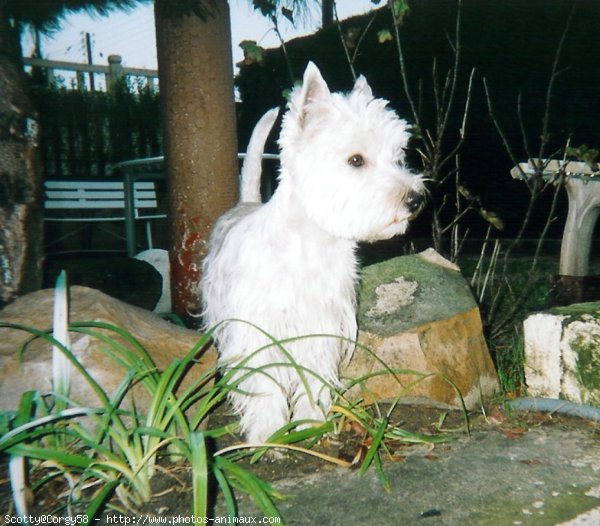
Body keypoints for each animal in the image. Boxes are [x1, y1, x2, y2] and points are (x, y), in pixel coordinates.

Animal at [200, 64, 422, 448]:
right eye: (355, 160)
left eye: (398, 155)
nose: (415, 199)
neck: (310, 242)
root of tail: (246, 203)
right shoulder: (258, 330)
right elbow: (264, 381)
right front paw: (267, 434)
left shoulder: (320, 326)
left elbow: (313, 374)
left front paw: (311, 423)